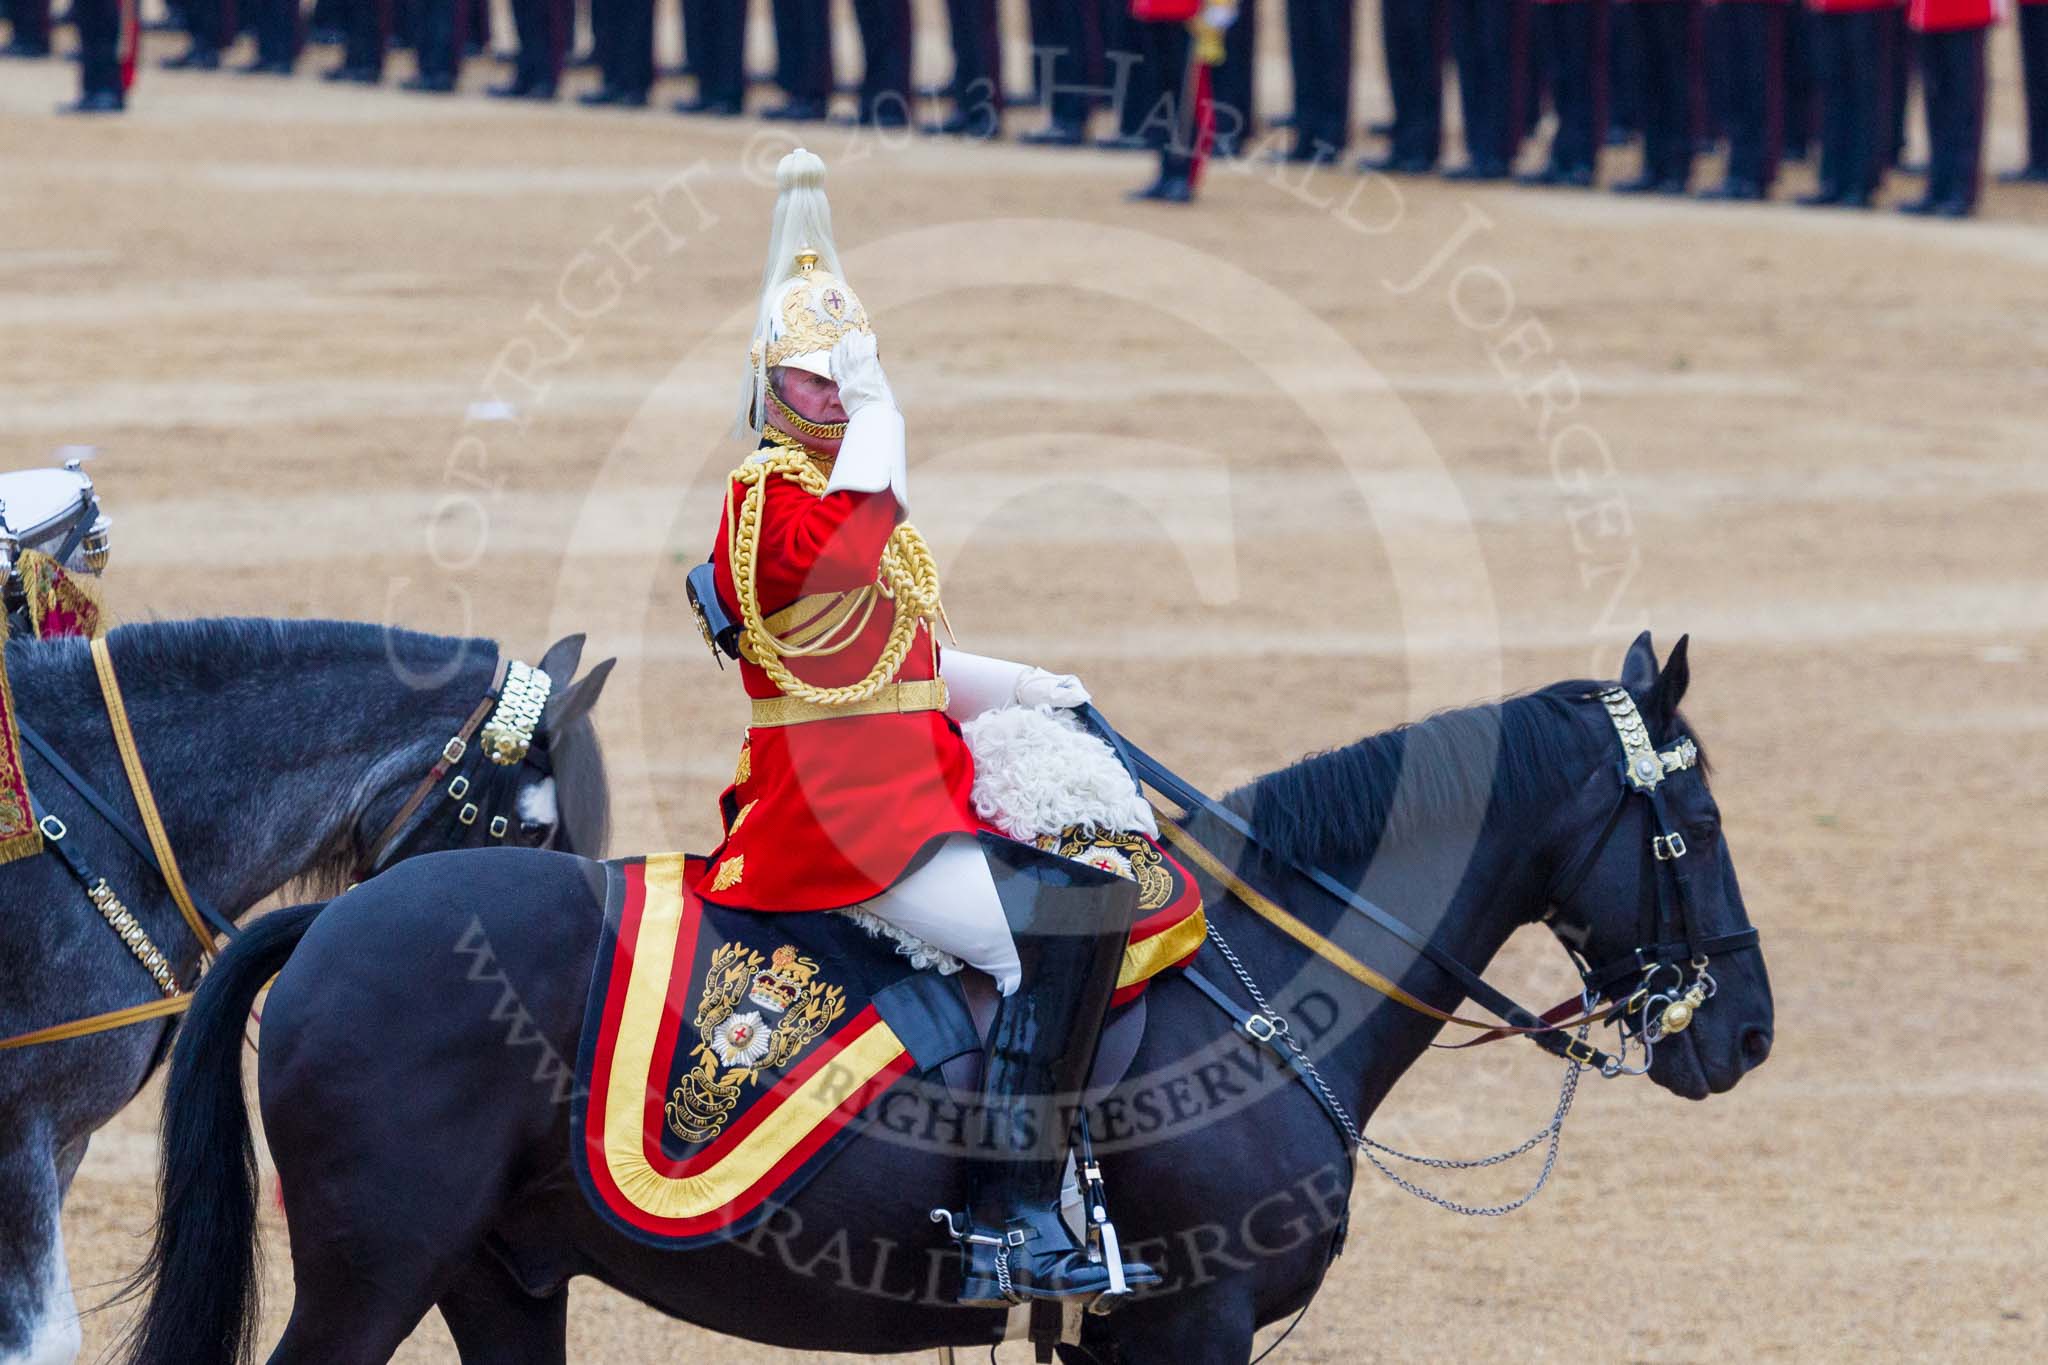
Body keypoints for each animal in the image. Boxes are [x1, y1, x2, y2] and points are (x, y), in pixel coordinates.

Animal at [123, 638, 1777, 1365]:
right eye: (1693, 823)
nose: (1748, 1030)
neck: (1274, 983)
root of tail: (336, 921)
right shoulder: (1195, 1326)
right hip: (376, 1271)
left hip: (504, 1276)